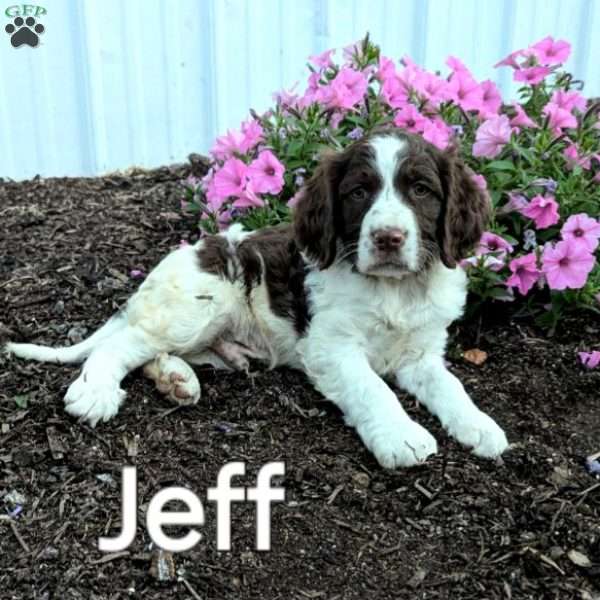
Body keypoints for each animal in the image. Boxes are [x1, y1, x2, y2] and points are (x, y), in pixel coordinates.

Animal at [7, 130, 508, 468]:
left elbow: (451, 386)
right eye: (358, 192)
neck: (394, 289)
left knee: (150, 349)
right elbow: (373, 388)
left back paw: (176, 378)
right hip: (200, 304)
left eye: (421, 190)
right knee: (121, 344)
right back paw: (96, 393)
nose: (388, 238)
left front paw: (480, 426)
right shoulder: (330, 347)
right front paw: (402, 436)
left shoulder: (421, 352)